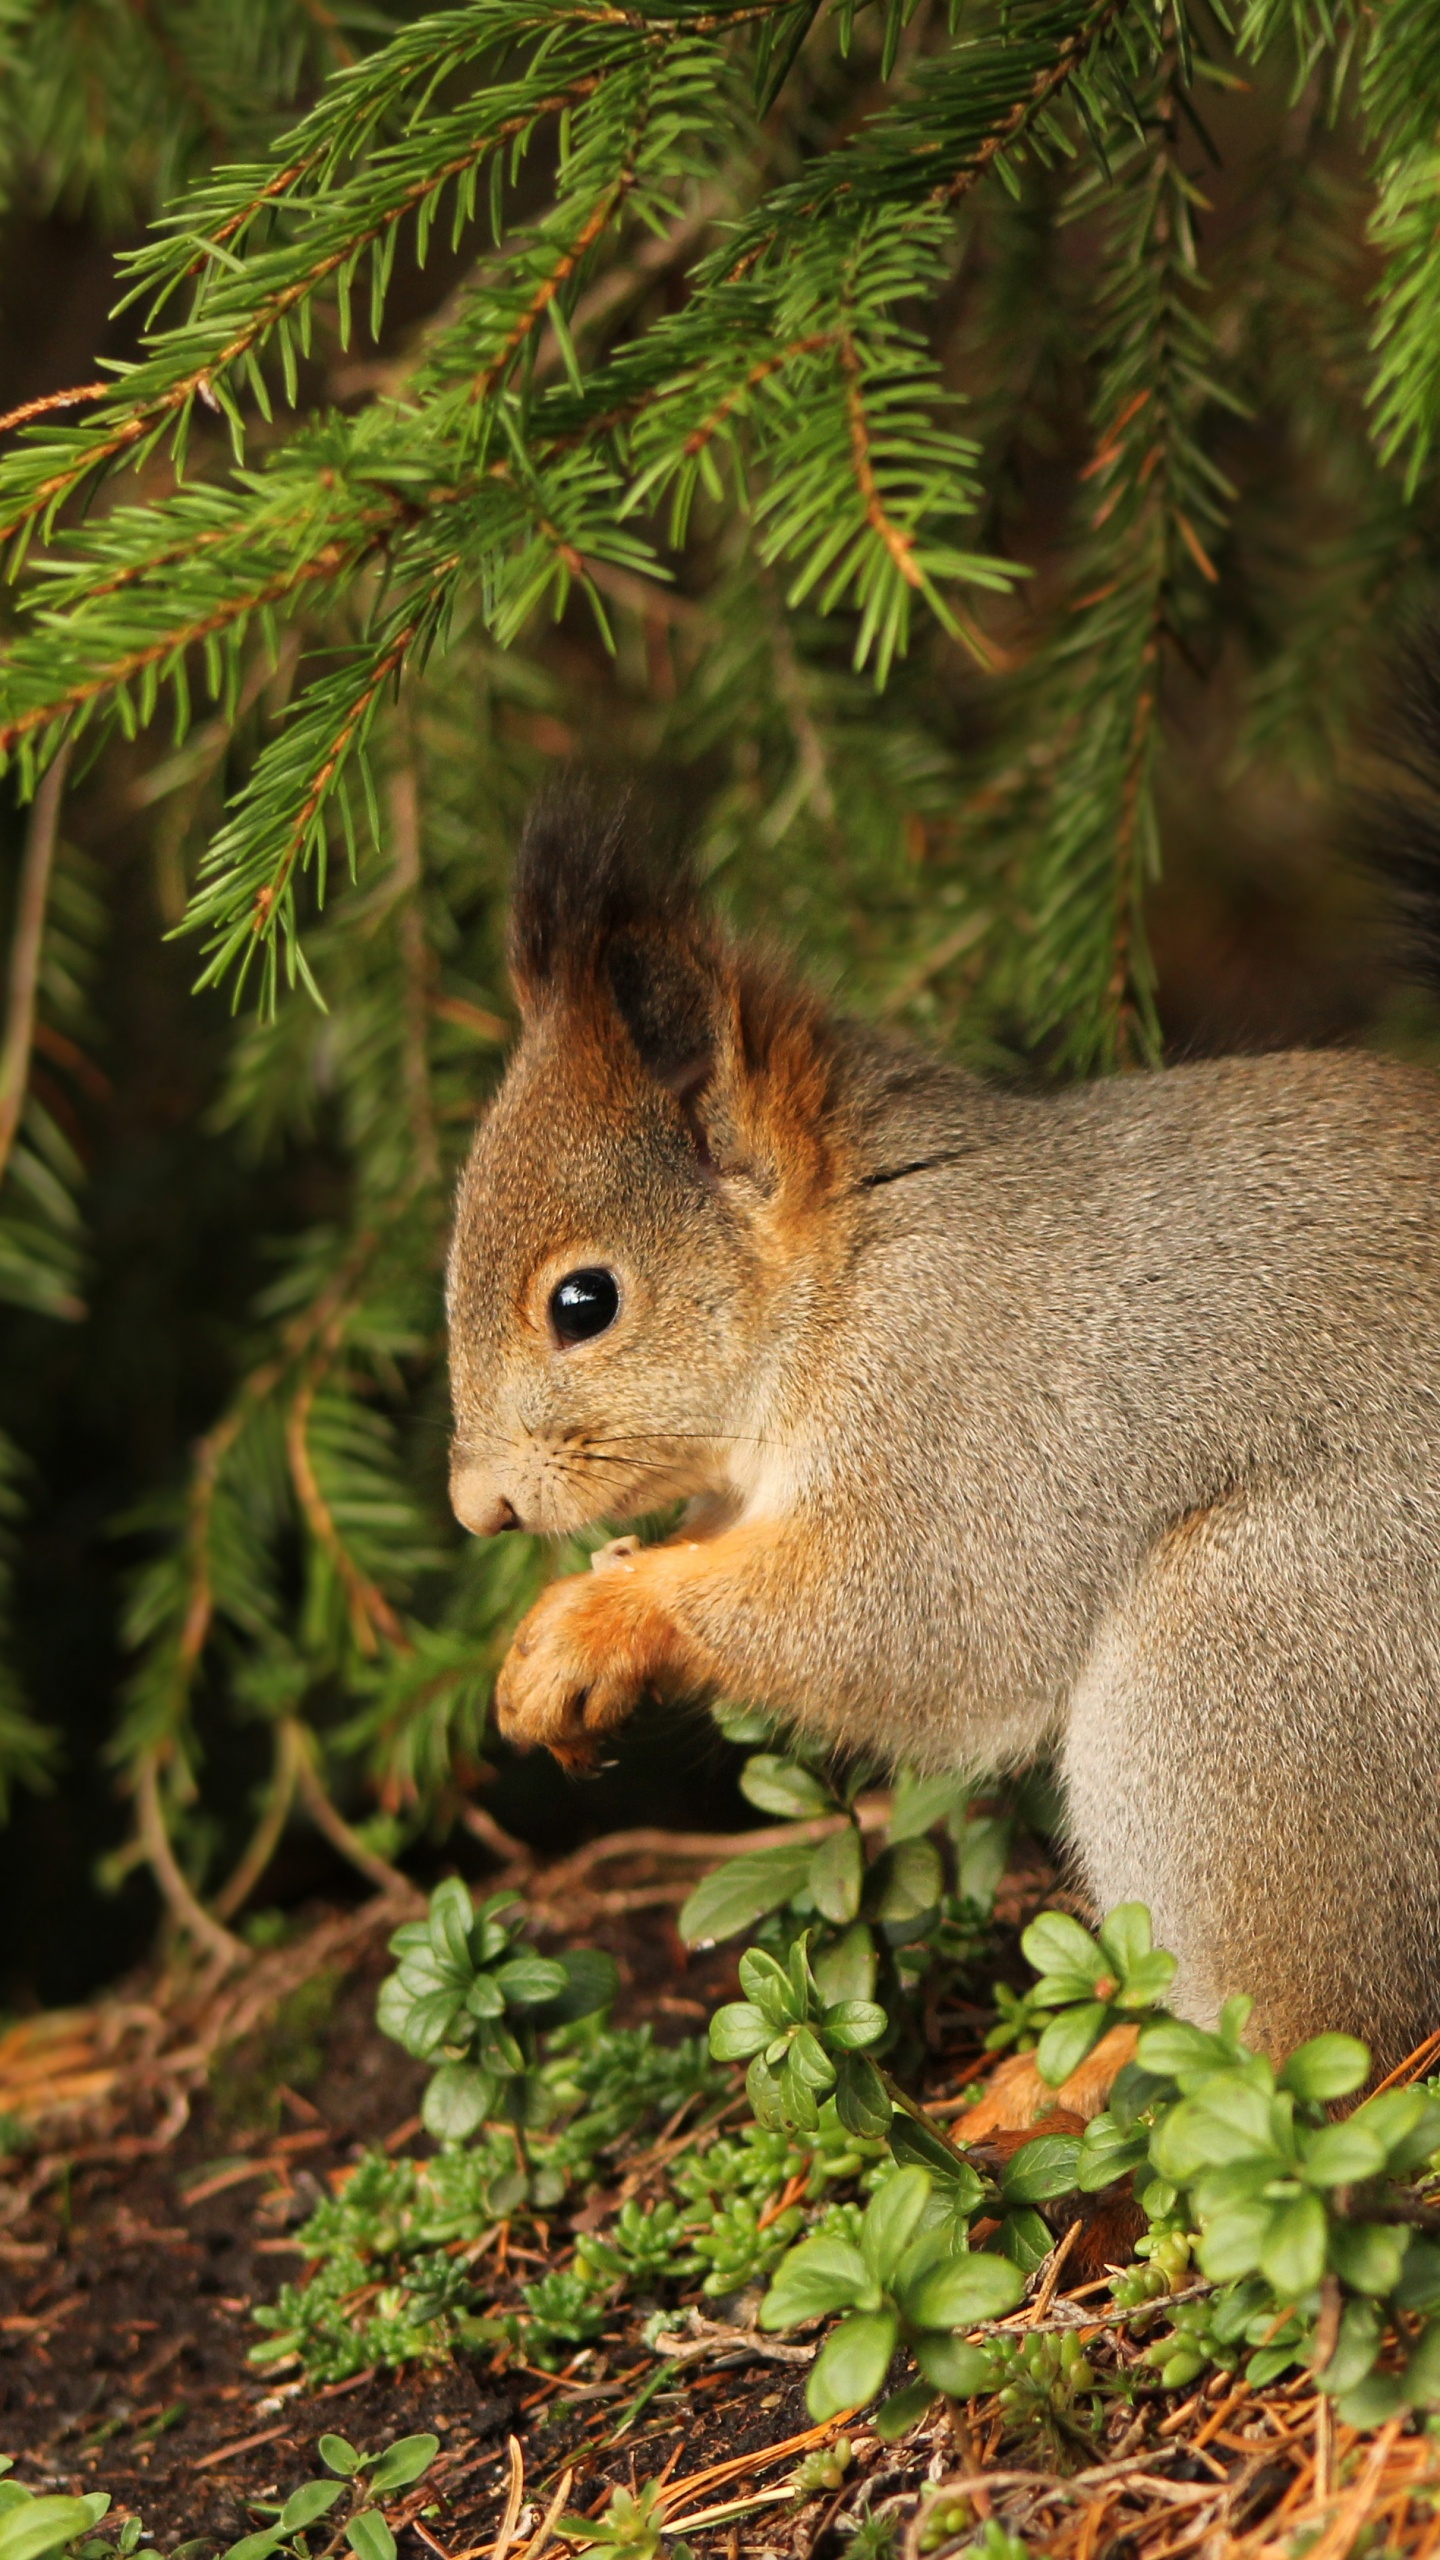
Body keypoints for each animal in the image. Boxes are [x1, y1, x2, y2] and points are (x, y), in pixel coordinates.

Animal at [446, 783, 1440, 2071]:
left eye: (585, 1302)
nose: (477, 1508)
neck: (856, 1265)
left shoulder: (966, 1414)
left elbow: (909, 1618)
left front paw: (605, 1623)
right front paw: (547, 1648)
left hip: (1261, 1655)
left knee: (1306, 2042)